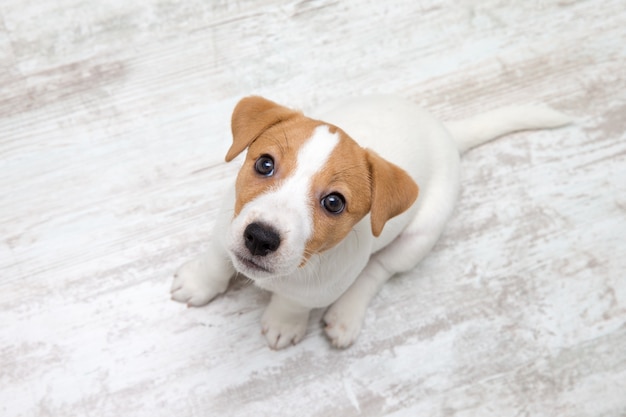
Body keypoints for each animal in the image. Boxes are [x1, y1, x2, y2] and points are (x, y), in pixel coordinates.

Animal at [171, 95, 572, 348]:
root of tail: (447, 132)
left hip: (419, 238)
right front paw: (198, 283)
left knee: (377, 270)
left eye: (334, 203)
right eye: (264, 164)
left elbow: (294, 302)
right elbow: (217, 261)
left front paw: (284, 323)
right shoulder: (226, 226)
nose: (260, 237)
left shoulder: (318, 289)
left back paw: (347, 315)